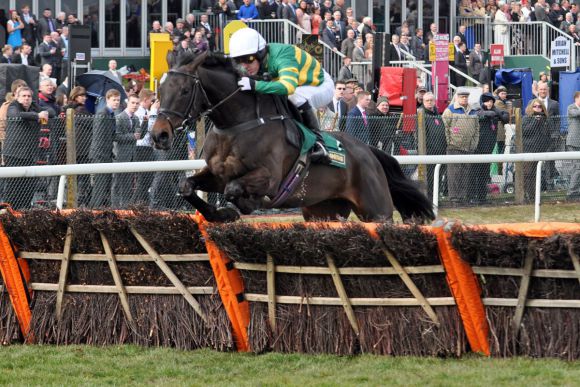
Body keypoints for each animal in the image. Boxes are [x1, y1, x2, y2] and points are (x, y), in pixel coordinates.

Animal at [152, 51, 432, 223]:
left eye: (184, 90)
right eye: (160, 89)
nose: (159, 135)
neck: (236, 126)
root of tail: (368, 151)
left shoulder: (270, 178)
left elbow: (234, 189)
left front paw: (239, 207)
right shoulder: (217, 175)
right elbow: (186, 185)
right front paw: (219, 214)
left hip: (377, 210)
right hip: (323, 210)